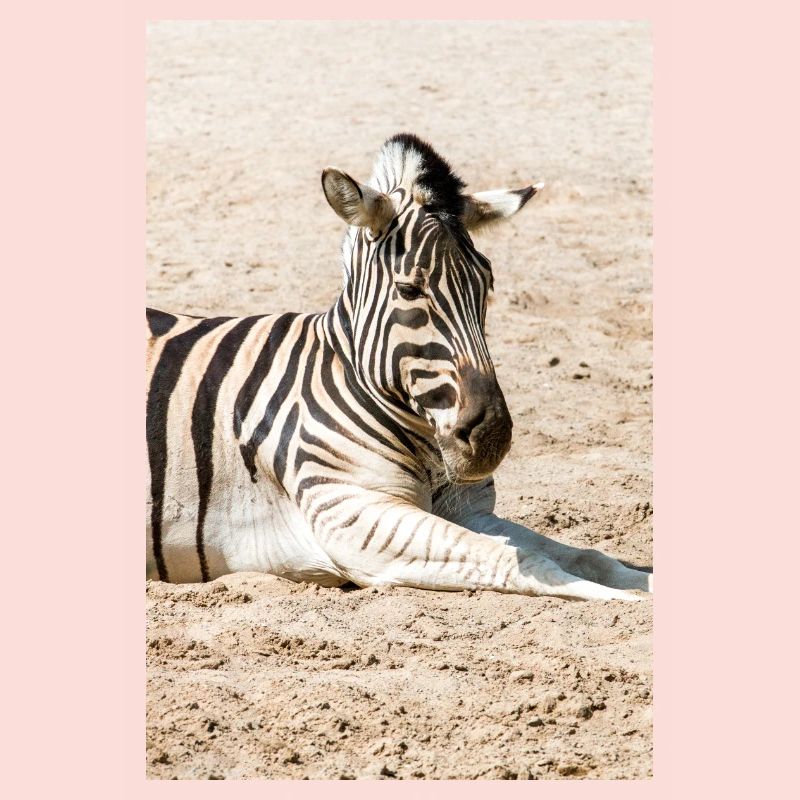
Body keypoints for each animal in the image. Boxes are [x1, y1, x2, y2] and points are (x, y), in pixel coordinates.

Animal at [146, 133, 653, 601]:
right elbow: (523, 560)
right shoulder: (353, 515)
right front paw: (623, 601)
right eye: (409, 290)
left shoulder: (470, 510)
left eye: (487, 284)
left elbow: (587, 555)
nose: (492, 437)